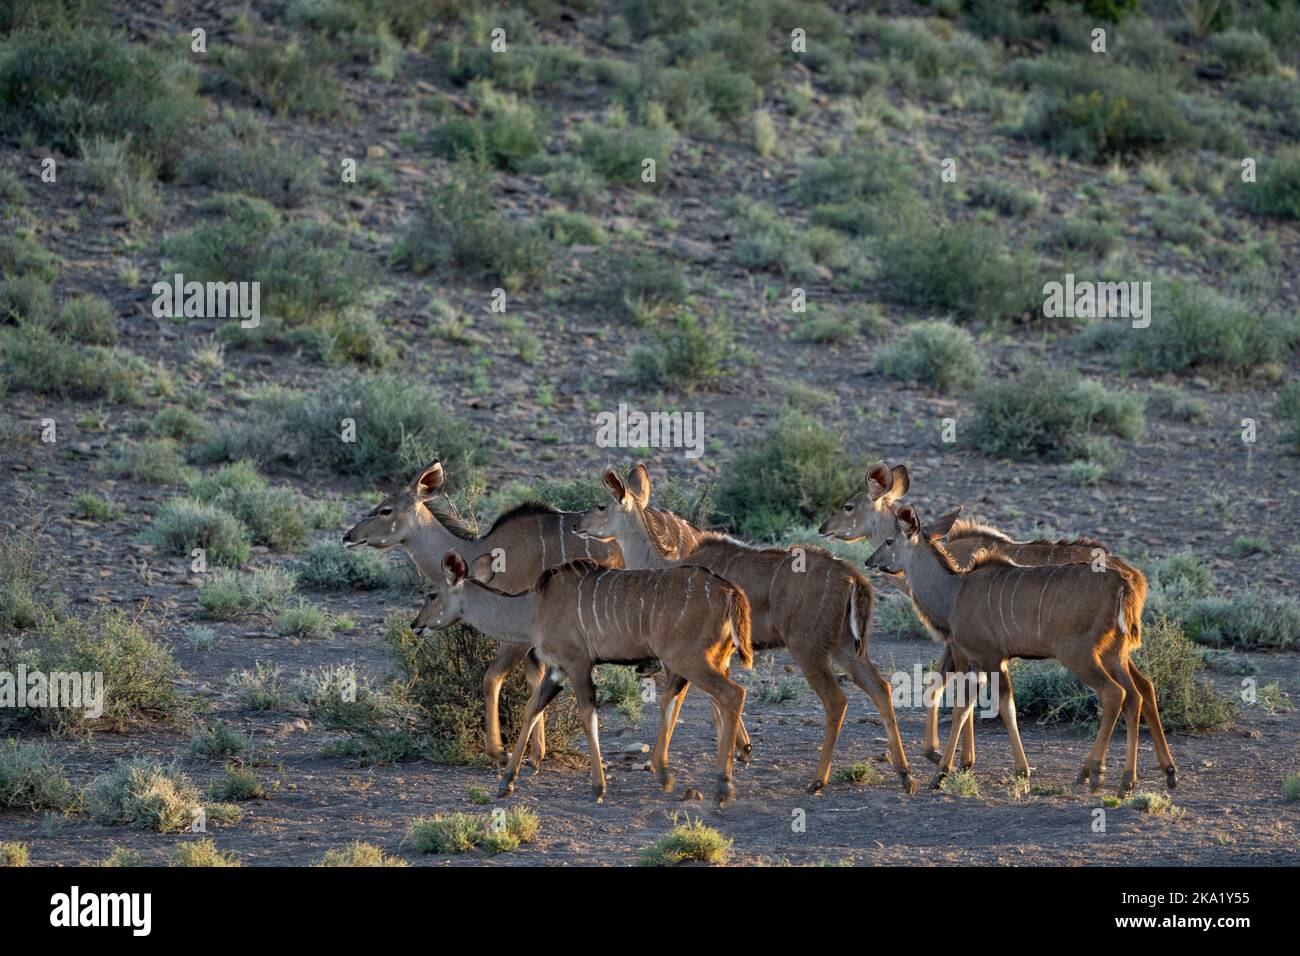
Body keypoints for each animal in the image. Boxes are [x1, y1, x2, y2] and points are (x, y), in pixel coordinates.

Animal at [345, 460, 618, 764]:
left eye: (385, 510)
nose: (348, 536)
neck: (482, 550)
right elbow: (534, 683)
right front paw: (536, 754)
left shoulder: (518, 634)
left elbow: (492, 677)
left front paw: (501, 752)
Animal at [410, 548, 748, 806]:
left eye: (431, 594)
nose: (415, 625)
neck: (536, 606)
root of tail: (730, 593)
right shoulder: (557, 670)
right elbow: (532, 709)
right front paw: (506, 781)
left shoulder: (577, 664)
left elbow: (588, 716)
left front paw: (598, 787)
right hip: (706, 661)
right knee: (687, 699)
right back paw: (672, 773)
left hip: (688, 660)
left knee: (732, 694)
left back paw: (722, 785)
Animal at [579, 468, 915, 796]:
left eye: (600, 505)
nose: (579, 524)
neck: (665, 563)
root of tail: (855, 578)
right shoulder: (721, 653)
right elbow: (713, 703)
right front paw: (741, 749)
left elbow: (684, 701)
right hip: (847, 648)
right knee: (882, 689)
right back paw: (905, 775)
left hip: (808, 649)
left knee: (836, 701)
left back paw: (818, 780)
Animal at [873, 504, 1159, 796]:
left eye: (889, 540)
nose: (870, 561)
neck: (955, 593)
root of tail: (1124, 583)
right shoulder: (987, 662)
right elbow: (979, 707)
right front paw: (961, 768)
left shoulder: (986, 657)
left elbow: (988, 707)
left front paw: (948, 771)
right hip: (1114, 654)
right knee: (1137, 694)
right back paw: (1128, 779)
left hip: (1080, 655)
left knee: (1114, 693)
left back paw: (1095, 773)